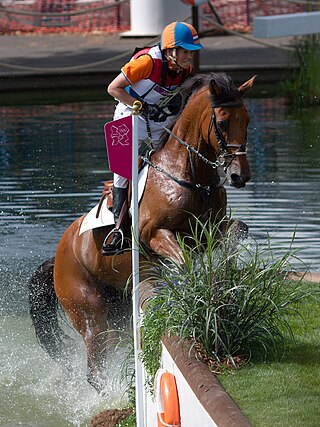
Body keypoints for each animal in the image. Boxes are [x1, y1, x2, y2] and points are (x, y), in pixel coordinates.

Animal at [28, 71, 256, 392]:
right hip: (88, 310)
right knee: (96, 364)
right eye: (222, 122)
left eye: (246, 120)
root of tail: (58, 255)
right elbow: (183, 260)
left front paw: (223, 276)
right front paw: (194, 292)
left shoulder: (211, 228)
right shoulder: (155, 235)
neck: (190, 175)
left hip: (119, 306)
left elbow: (238, 230)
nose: (239, 176)